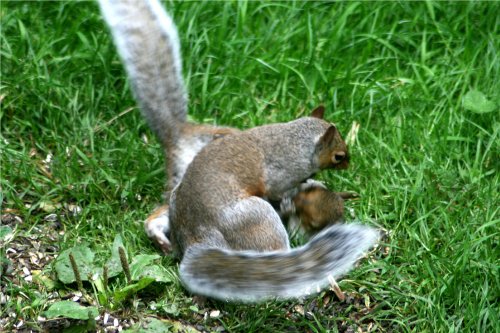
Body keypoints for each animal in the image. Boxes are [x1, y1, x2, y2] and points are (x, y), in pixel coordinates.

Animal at [98, 0, 378, 300]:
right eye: (339, 156)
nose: (349, 164)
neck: (295, 140)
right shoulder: (281, 175)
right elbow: (283, 190)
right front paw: (296, 197)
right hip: (253, 217)